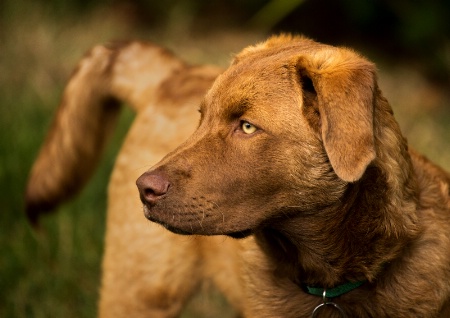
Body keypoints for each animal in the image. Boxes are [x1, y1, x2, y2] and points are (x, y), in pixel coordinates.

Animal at [25, 34, 450, 316]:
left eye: (246, 127)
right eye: (201, 119)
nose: (144, 189)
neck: (329, 284)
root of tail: (174, 73)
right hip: (138, 291)